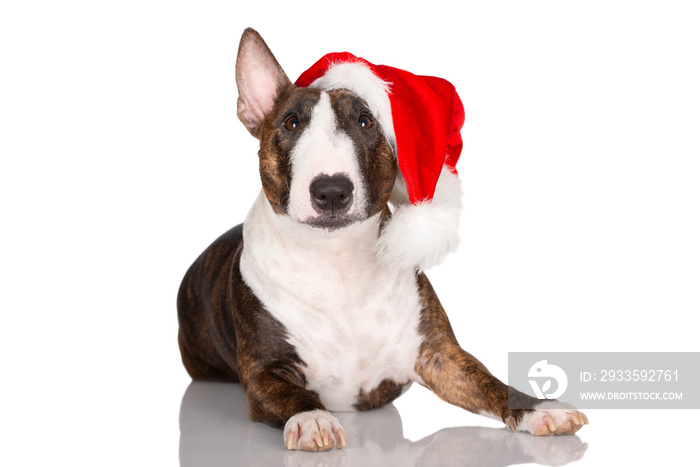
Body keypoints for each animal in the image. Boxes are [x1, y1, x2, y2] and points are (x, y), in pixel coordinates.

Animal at [178, 27, 588, 452]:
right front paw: (313, 419)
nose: (331, 190)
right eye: (291, 123)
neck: (336, 262)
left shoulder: (439, 357)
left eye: (365, 122)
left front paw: (539, 408)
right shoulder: (263, 373)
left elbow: (490, 382)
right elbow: (292, 394)